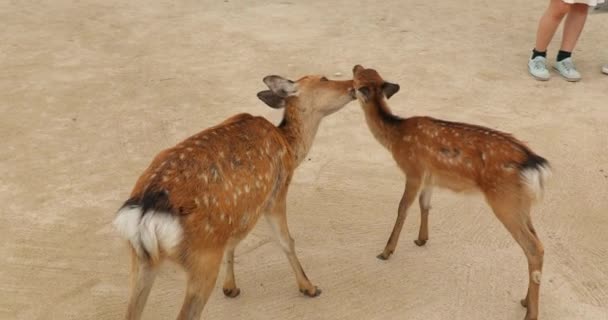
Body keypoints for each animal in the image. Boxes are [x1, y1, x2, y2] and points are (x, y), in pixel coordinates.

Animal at [113, 74, 356, 318]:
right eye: (323, 78)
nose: (353, 84)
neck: (289, 146)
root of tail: (145, 212)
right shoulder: (276, 193)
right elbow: (286, 240)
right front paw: (309, 287)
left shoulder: (239, 212)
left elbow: (233, 242)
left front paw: (230, 288)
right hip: (203, 257)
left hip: (141, 260)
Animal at [352, 63, 552, 318]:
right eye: (369, 71)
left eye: (358, 78)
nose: (355, 65)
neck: (395, 136)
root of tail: (535, 165)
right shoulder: (429, 177)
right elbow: (425, 204)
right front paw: (421, 239)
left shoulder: (413, 171)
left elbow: (403, 208)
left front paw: (386, 251)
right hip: (522, 204)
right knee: (536, 244)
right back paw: (526, 301)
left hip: (504, 200)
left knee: (534, 247)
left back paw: (531, 313)